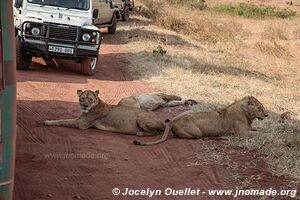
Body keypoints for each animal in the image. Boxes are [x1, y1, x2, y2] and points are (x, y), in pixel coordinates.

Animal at [134, 95, 268, 145]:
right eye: (260, 108)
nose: (267, 115)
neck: (248, 114)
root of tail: (173, 121)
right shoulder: (242, 134)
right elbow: (259, 135)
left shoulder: (249, 128)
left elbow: (260, 131)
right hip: (197, 133)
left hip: (189, 111)